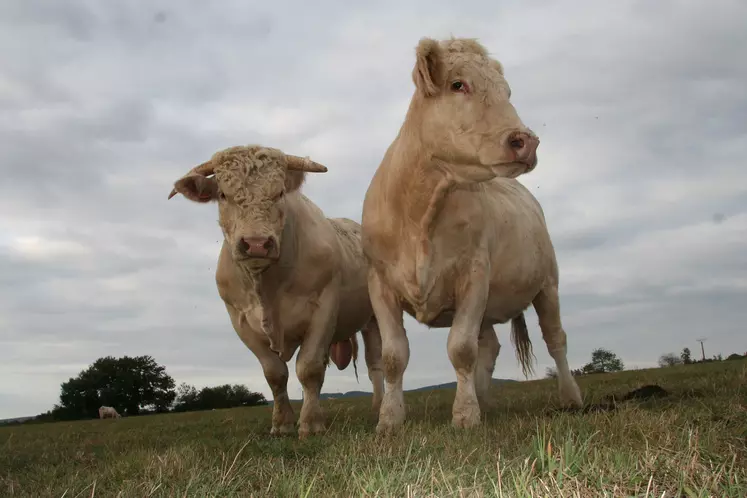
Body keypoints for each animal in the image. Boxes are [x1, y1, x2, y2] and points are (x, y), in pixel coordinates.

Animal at [169, 145, 386, 440]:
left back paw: (378, 408)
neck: (267, 287)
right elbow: (275, 374)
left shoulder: (324, 307)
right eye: (223, 194)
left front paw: (311, 424)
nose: (256, 244)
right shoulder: (239, 320)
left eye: (280, 192)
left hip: (372, 318)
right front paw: (282, 423)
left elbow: (309, 368)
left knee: (375, 365)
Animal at [362, 37, 584, 434]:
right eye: (458, 84)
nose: (526, 141)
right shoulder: (380, 282)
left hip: (548, 284)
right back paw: (485, 399)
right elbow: (393, 356)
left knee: (556, 339)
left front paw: (464, 414)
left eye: (507, 92)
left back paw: (570, 396)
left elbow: (461, 348)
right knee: (491, 345)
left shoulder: (474, 275)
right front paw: (390, 419)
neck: (420, 212)